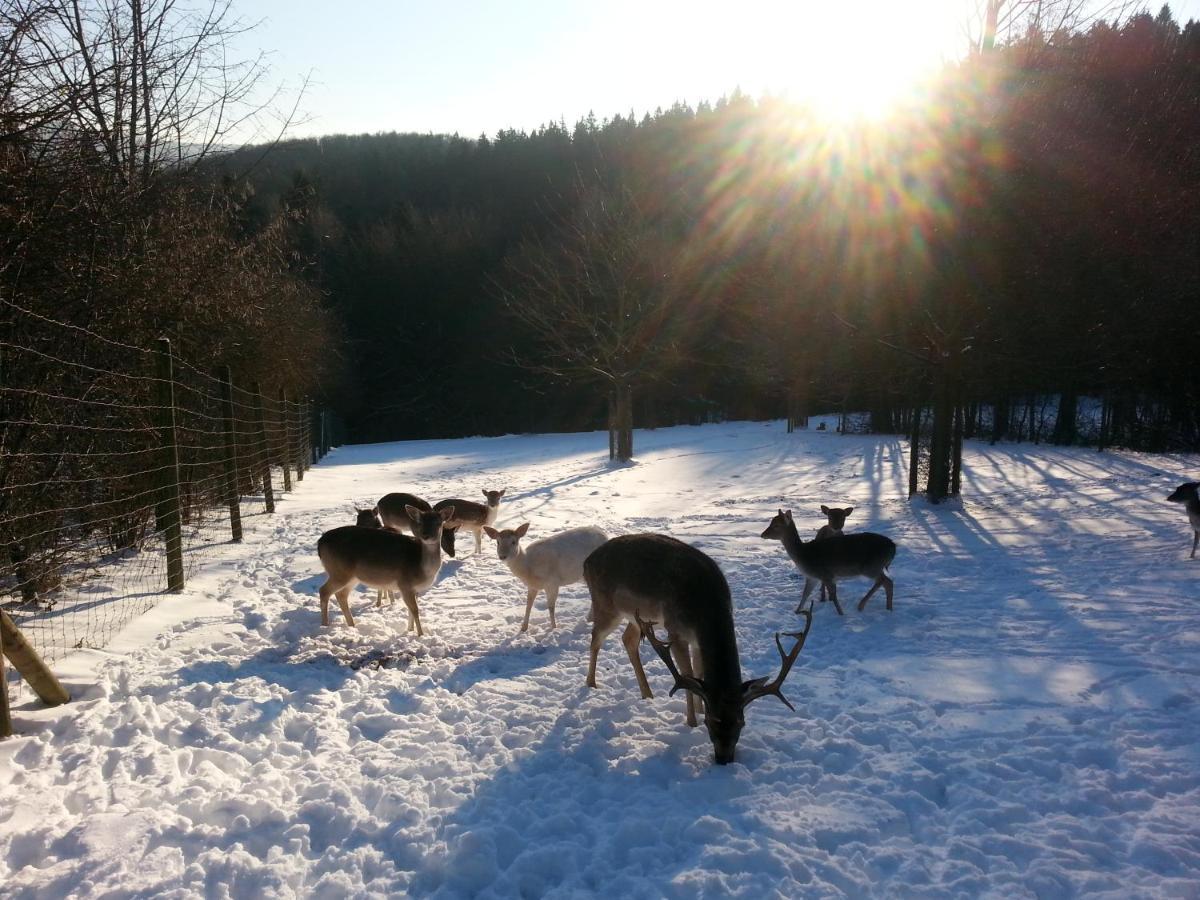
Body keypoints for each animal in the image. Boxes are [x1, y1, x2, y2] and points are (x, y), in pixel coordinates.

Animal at [314, 504, 453, 638]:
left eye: (438, 523)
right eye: (420, 522)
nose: (425, 535)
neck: (422, 568)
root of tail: (320, 543)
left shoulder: (415, 589)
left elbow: (411, 611)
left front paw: (409, 630)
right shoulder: (405, 584)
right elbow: (415, 610)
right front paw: (420, 635)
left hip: (351, 577)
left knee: (341, 594)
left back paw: (352, 625)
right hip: (339, 571)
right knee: (324, 591)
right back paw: (325, 625)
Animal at [578, 535, 806, 768]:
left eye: (741, 722)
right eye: (710, 722)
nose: (724, 759)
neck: (705, 607)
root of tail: (586, 563)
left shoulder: (697, 641)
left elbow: (699, 673)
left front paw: (698, 707)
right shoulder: (675, 630)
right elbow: (686, 676)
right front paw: (691, 721)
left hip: (635, 616)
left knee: (628, 640)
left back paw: (648, 694)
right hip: (606, 606)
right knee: (595, 639)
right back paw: (591, 683)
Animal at [763, 511, 897, 619]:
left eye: (776, 525)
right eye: (771, 521)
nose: (762, 534)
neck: (803, 555)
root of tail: (893, 547)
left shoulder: (826, 575)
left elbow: (833, 596)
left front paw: (841, 614)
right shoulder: (812, 577)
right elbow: (805, 594)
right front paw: (796, 612)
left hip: (870, 567)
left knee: (885, 581)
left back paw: (861, 606)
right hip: (875, 567)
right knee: (887, 582)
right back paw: (888, 609)